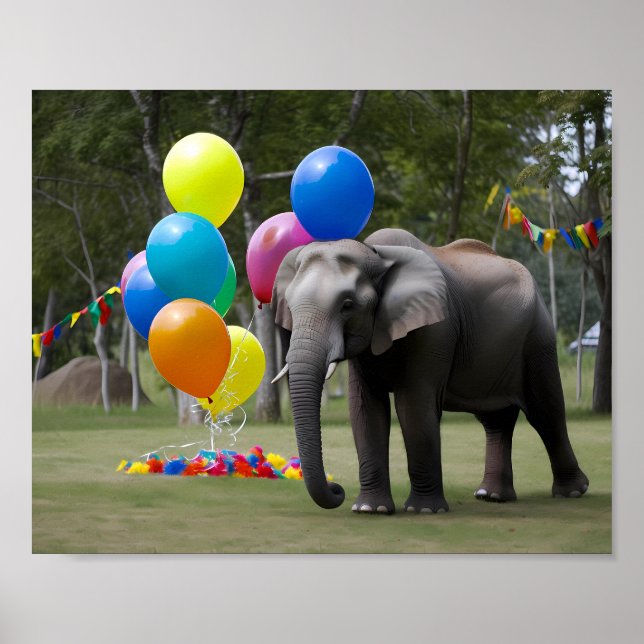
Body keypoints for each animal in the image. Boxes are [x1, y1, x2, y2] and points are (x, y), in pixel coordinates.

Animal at [270, 227, 589, 514]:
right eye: (290, 306)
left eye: (347, 305)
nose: (337, 490)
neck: (376, 255)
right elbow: (365, 409)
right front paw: (369, 509)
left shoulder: (435, 329)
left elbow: (413, 406)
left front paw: (423, 510)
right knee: (496, 419)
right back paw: (492, 496)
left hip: (538, 337)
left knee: (545, 411)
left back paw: (572, 491)